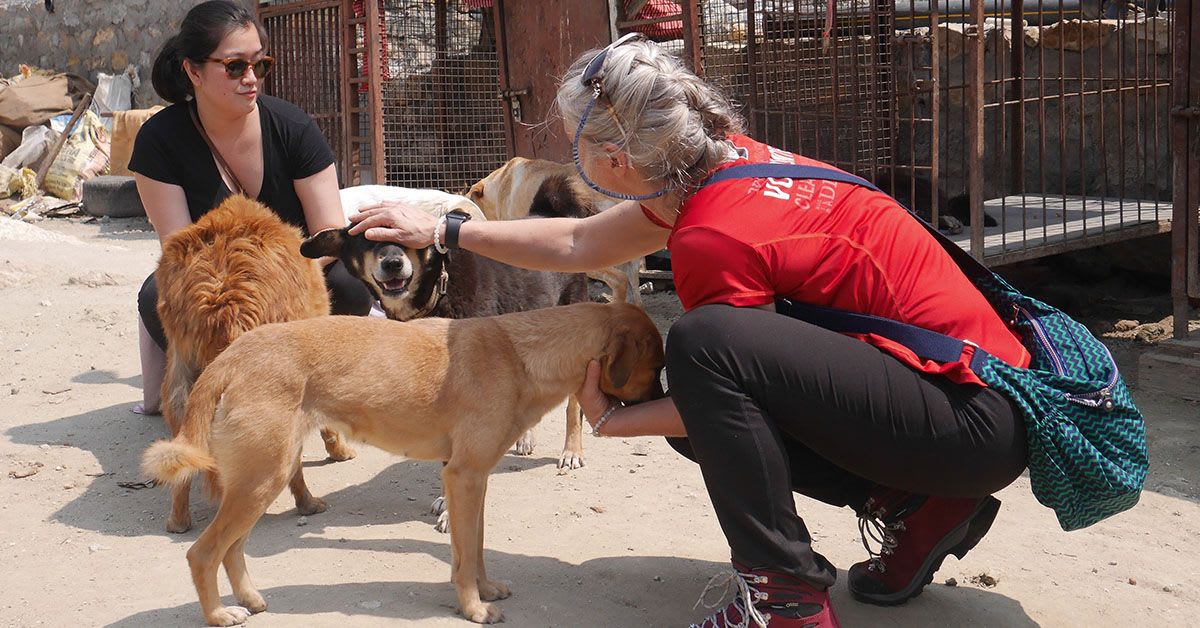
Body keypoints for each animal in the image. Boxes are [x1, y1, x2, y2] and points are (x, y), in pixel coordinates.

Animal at [153, 194, 355, 533]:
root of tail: (223, 300)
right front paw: (339, 450)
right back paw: (307, 503)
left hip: (179, 386)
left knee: (183, 453)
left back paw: (178, 520)